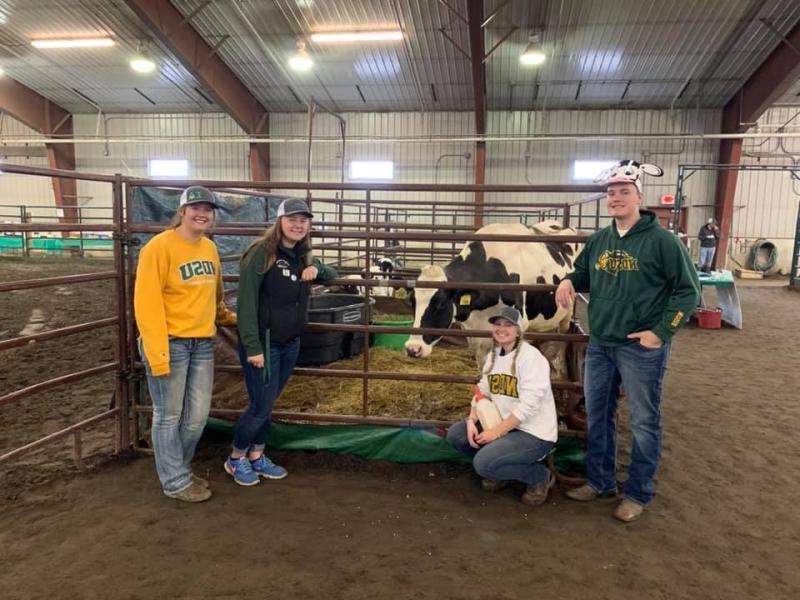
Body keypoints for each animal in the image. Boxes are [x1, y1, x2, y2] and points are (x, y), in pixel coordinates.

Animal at [406, 220, 580, 378]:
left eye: (441, 304)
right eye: (412, 302)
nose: (413, 349)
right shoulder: (476, 333)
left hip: (567, 315)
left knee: (563, 340)